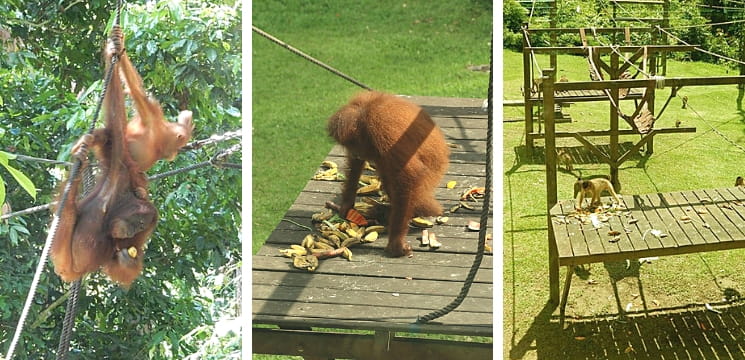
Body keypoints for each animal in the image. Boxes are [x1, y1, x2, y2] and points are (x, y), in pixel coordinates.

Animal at [328, 91, 450, 258]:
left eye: (353, 144)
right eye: (348, 146)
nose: (354, 152)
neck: (364, 117)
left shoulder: (383, 129)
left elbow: (409, 175)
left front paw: (396, 244)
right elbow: (355, 165)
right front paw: (346, 205)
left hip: (434, 170)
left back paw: (422, 211)